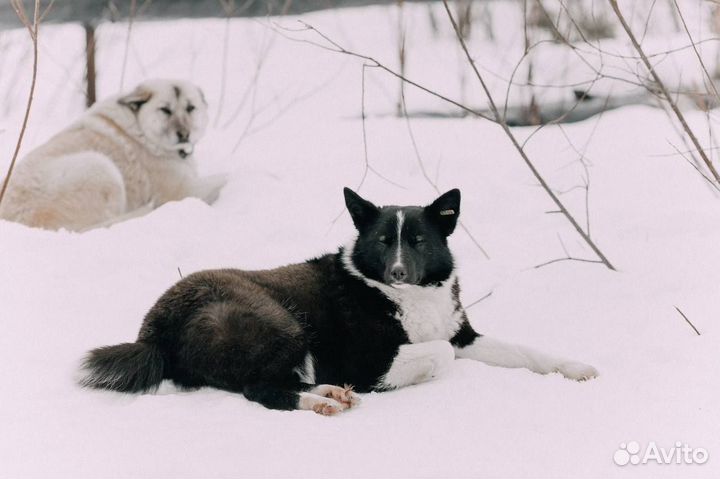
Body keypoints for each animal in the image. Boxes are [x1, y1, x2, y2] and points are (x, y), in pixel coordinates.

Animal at [0, 79, 225, 232]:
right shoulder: (183, 191)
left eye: (190, 108)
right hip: (101, 166)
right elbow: (225, 178)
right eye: (165, 110)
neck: (141, 129)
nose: (184, 134)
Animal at [80, 188, 596, 416]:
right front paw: (400, 381)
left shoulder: (462, 333)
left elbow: (522, 350)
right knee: (259, 389)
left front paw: (573, 368)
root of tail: (151, 329)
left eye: (419, 241)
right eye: (384, 241)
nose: (398, 272)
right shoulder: (366, 358)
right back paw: (320, 401)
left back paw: (328, 393)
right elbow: (437, 356)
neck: (404, 296)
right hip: (279, 321)